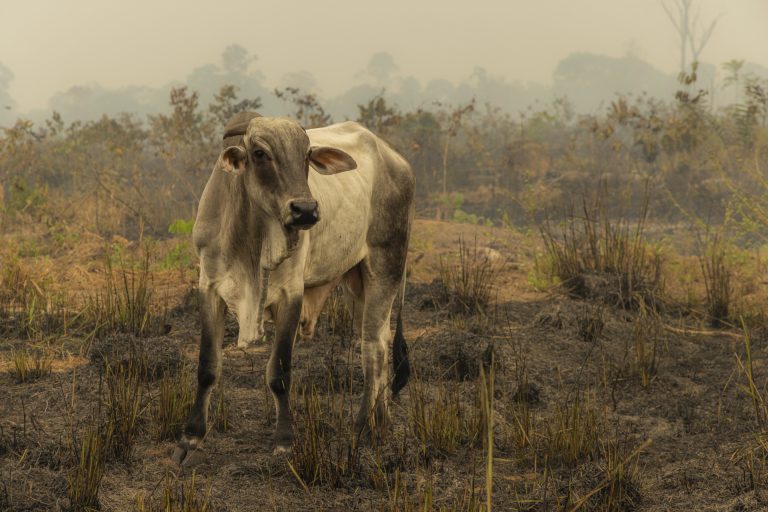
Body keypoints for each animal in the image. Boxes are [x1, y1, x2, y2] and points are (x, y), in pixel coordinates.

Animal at [172, 114, 416, 466]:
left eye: (306, 156)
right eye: (260, 153)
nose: (305, 210)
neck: (251, 241)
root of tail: (396, 160)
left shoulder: (291, 294)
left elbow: (280, 372)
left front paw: (285, 440)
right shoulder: (210, 287)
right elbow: (207, 367)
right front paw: (191, 438)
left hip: (387, 265)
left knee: (373, 348)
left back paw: (359, 427)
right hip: (358, 280)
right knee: (381, 338)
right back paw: (380, 424)